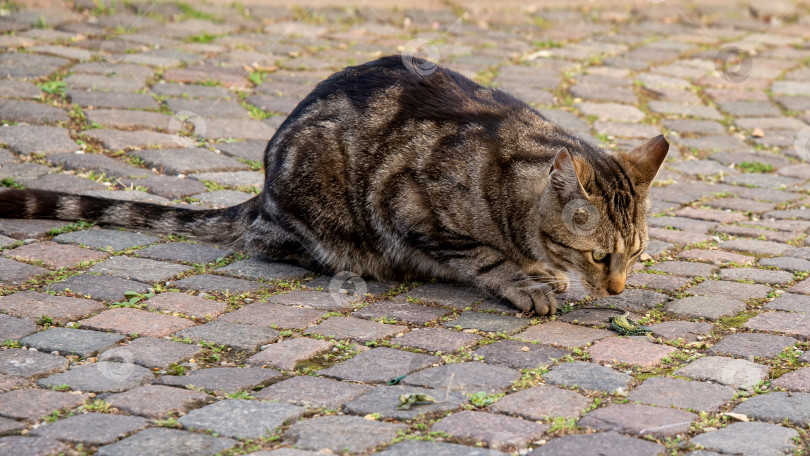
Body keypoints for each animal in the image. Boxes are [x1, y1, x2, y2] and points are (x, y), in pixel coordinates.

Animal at [0, 56, 664, 314]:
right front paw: (524, 281)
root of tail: (262, 189)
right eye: (599, 255)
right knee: (271, 243)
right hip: (321, 196)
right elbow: (480, 256)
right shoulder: (408, 203)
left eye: (633, 256)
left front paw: (541, 271)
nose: (617, 289)